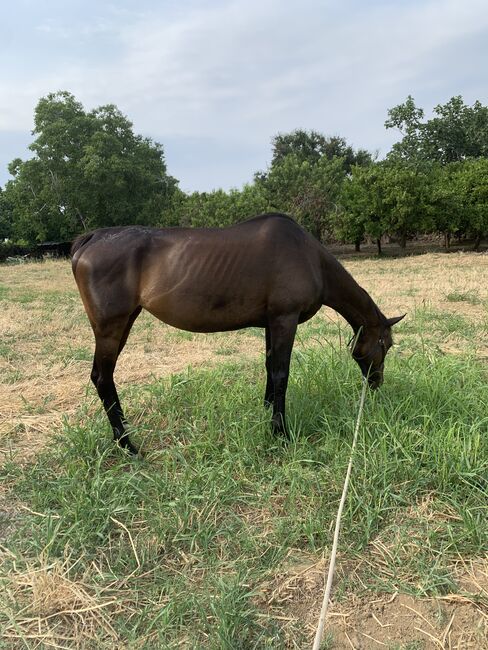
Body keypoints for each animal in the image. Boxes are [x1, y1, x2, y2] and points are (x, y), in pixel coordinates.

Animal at [69, 213, 404, 450]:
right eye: (385, 345)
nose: (376, 384)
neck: (309, 257)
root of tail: (93, 238)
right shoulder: (285, 320)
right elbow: (281, 373)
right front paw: (280, 433)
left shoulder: (271, 323)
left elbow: (270, 367)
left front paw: (267, 412)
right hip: (110, 328)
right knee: (102, 377)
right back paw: (127, 444)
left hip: (125, 322)